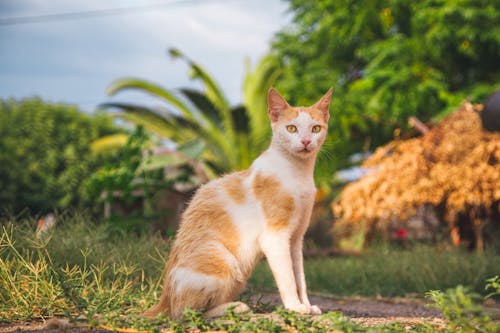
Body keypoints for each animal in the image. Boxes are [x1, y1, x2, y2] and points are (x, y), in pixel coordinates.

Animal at [144, 87, 332, 318]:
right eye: (291, 128)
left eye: (315, 129)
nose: (306, 141)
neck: (297, 173)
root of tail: (165, 299)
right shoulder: (275, 236)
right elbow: (287, 276)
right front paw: (295, 307)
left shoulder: (296, 239)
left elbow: (300, 277)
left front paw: (306, 304)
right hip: (225, 261)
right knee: (185, 312)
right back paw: (235, 307)